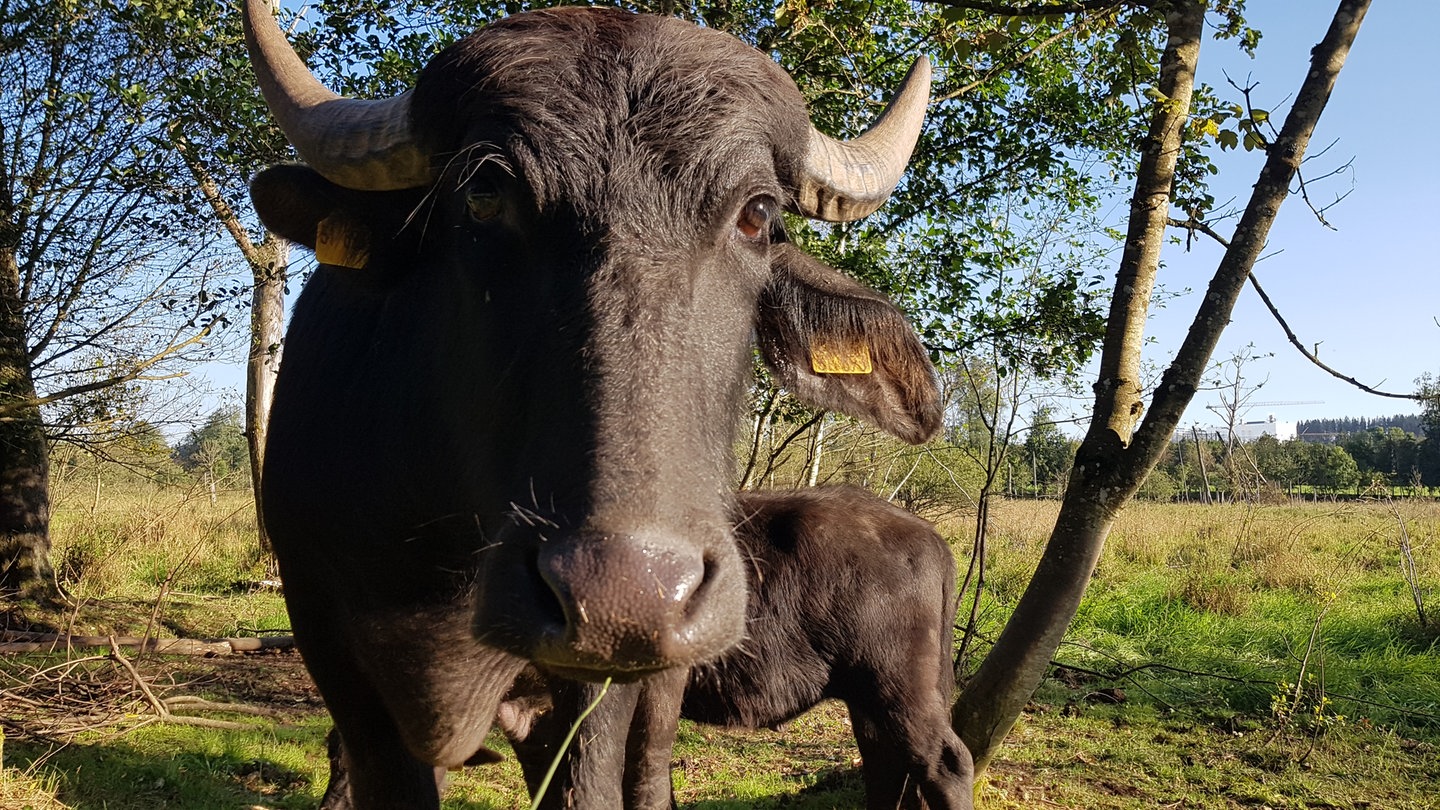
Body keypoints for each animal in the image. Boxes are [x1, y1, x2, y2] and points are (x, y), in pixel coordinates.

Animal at [512, 484, 973, 807]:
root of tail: (929, 537)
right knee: (887, 768)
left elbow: (641, 776)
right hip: (867, 701)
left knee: (945, 763)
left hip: (898, 686)